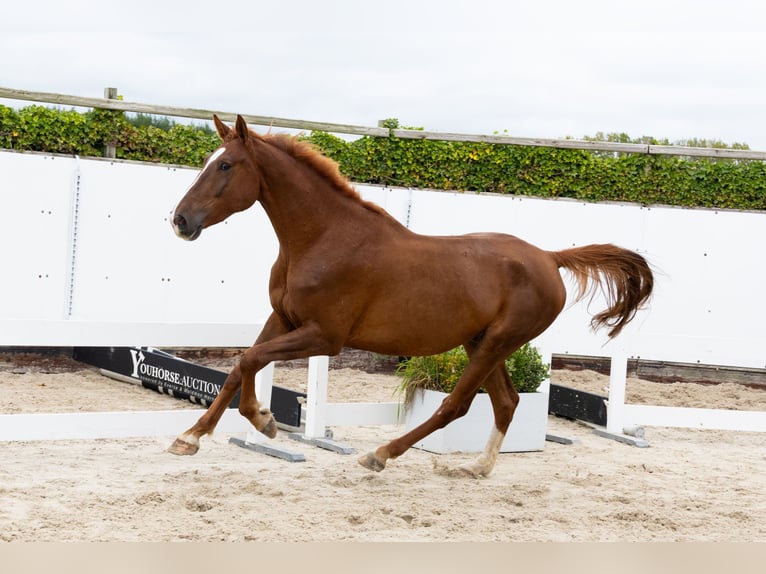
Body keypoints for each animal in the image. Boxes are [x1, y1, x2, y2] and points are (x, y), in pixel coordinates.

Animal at [169, 114, 653, 477]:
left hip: (497, 342)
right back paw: (476, 468)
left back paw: (381, 454)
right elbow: (240, 366)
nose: (180, 220)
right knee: (506, 402)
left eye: (226, 166)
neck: (323, 238)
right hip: (482, 342)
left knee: (457, 405)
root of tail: (550, 258)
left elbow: (250, 360)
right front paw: (196, 436)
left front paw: (258, 422)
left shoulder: (325, 336)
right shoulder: (283, 320)